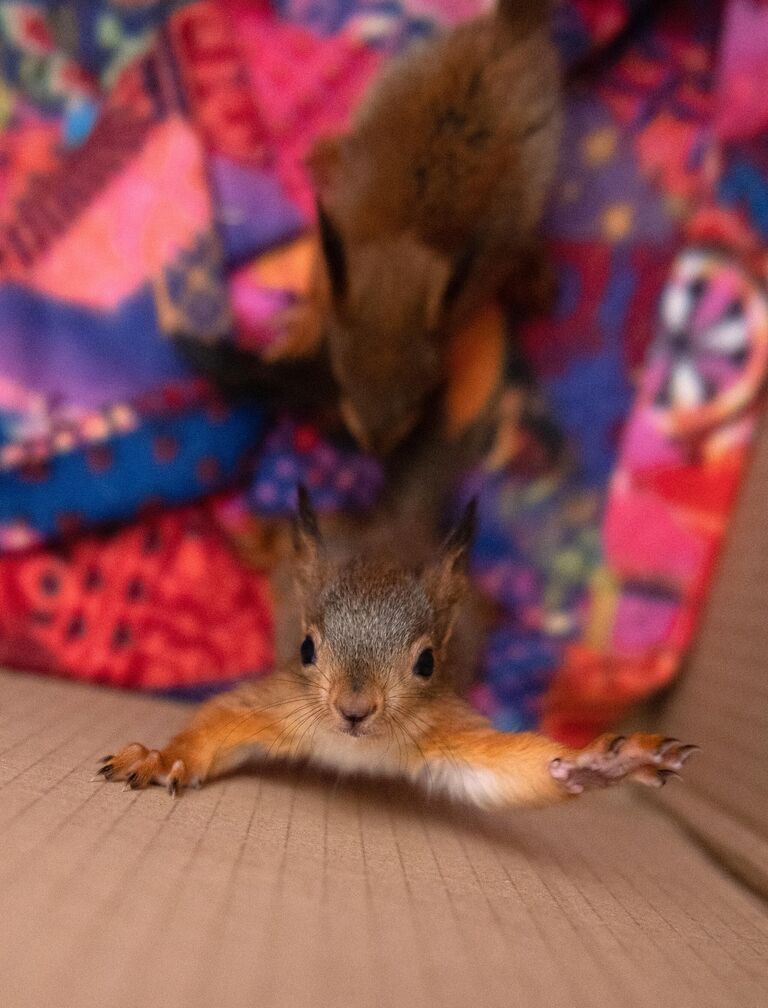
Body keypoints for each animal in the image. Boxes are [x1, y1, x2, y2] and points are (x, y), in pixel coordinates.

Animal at [94, 487, 693, 810]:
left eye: (427, 662)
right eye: (306, 648)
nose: (354, 710)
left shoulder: (444, 732)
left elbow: (514, 769)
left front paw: (602, 765)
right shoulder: (278, 707)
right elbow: (215, 724)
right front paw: (161, 757)